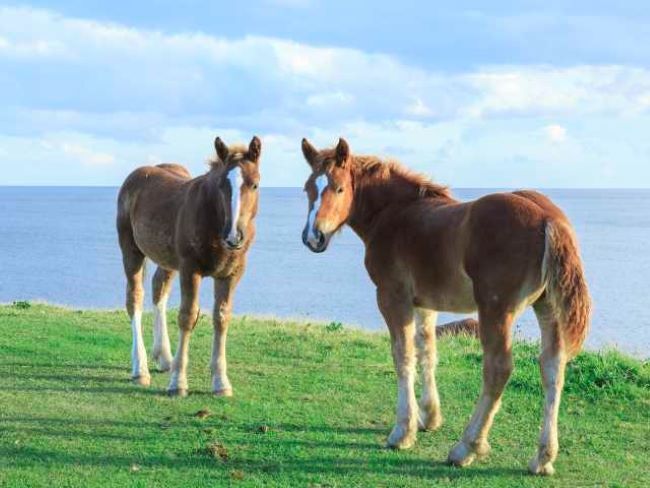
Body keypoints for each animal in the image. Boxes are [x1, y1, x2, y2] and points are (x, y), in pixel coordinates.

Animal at [116, 136, 262, 397]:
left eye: (254, 184)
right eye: (222, 185)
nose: (234, 236)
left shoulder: (232, 274)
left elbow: (221, 317)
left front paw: (221, 382)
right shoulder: (190, 269)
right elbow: (187, 316)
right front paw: (178, 382)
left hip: (166, 259)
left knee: (158, 288)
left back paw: (164, 357)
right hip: (130, 249)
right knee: (135, 298)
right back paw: (140, 369)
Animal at [300, 137, 590, 475]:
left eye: (339, 188)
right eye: (308, 188)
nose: (313, 237)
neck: (393, 214)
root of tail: (548, 217)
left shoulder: (392, 296)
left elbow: (403, 356)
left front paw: (403, 431)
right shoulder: (425, 303)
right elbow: (427, 351)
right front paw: (429, 417)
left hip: (495, 309)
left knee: (498, 369)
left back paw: (466, 448)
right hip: (548, 308)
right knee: (553, 369)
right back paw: (543, 457)